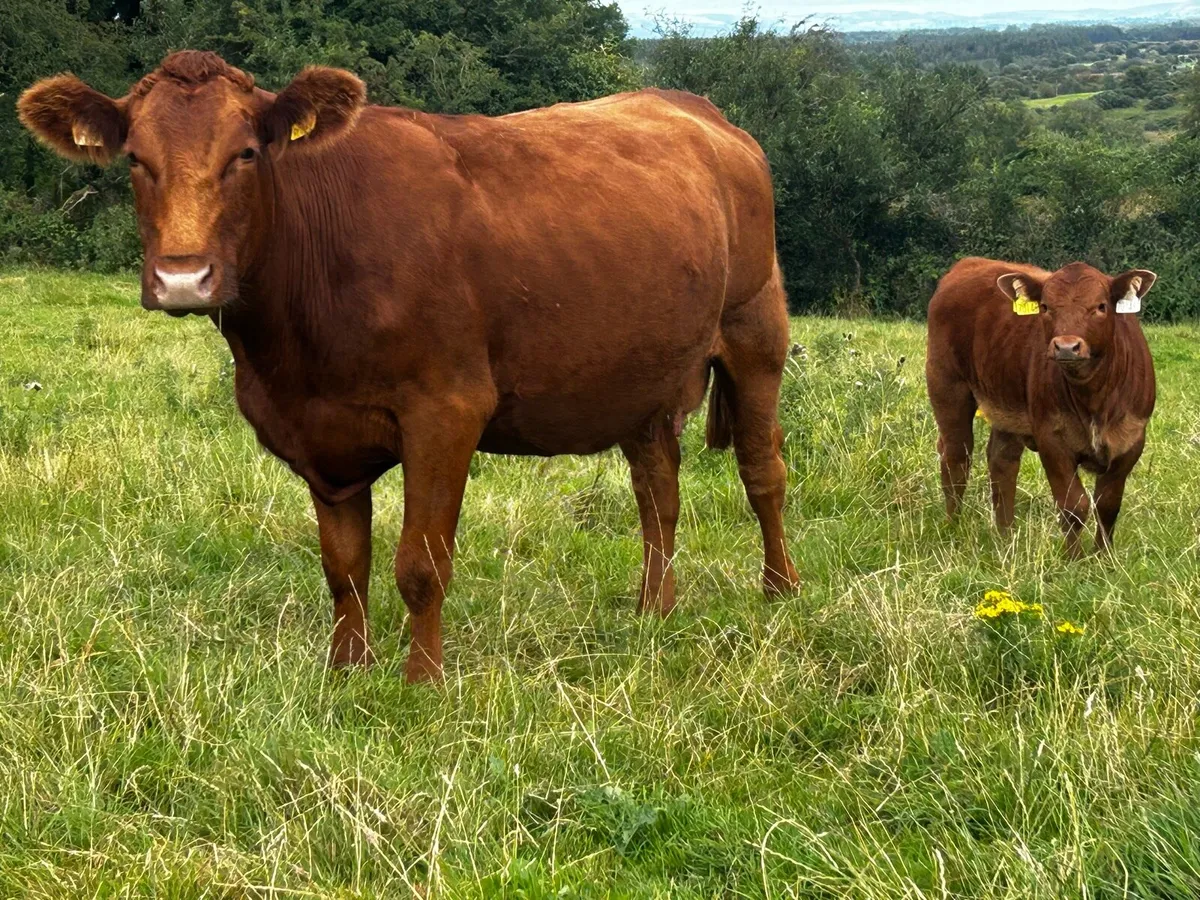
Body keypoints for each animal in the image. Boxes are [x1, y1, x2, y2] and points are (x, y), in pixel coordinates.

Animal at [19, 51, 800, 682]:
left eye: (245, 153)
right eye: (134, 159)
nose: (183, 278)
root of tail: (693, 107)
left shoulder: (446, 410)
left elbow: (420, 564)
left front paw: (423, 680)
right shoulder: (315, 430)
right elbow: (344, 567)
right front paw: (348, 669)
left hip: (756, 330)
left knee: (762, 470)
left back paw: (779, 591)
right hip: (642, 373)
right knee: (657, 493)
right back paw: (652, 610)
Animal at [926, 257, 1156, 558]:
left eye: (1101, 306)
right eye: (1045, 307)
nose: (1067, 347)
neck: (1094, 399)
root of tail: (969, 263)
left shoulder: (1131, 440)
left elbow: (1107, 506)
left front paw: (1104, 560)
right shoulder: (1051, 439)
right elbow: (1073, 505)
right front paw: (1074, 561)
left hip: (1006, 402)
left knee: (1001, 461)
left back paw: (1006, 536)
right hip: (947, 385)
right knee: (956, 458)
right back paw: (952, 527)